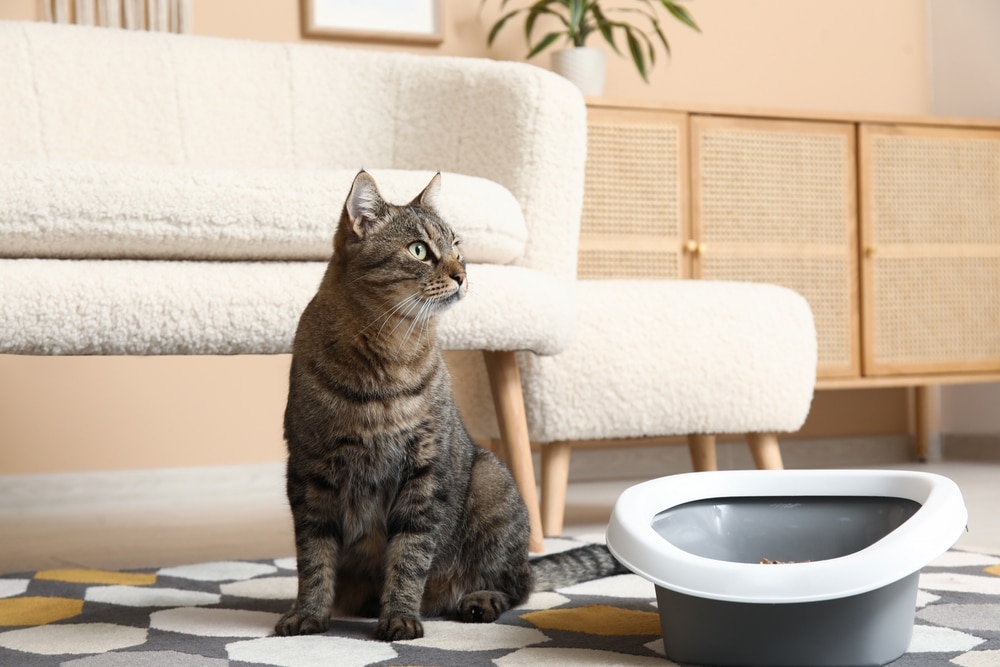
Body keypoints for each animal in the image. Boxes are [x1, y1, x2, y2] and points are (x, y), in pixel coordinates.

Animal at [276, 168, 624, 640]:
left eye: (458, 246)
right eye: (419, 250)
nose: (462, 273)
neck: (388, 354)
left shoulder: (425, 470)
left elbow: (409, 555)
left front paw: (400, 615)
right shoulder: (310, 472)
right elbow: (314, 557)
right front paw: (309, 612)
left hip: (491, 482)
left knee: (517, 585)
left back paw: (479, 599)